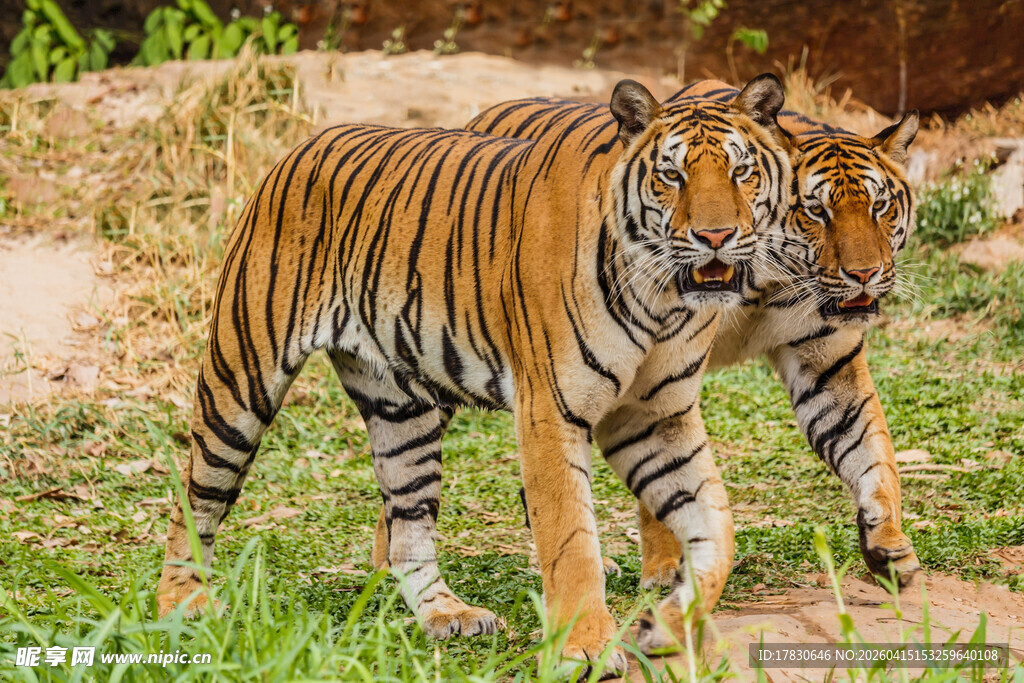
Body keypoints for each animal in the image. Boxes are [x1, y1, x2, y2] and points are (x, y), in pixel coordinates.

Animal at [156, 74, 794, 676]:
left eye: (741, 172)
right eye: (671, 176)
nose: (716, 237)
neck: (663, 299)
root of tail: (302, 144)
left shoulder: (654, 414)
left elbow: (717, 530)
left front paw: (667, 622)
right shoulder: (551, 409)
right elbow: (570, 538)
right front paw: (586, 648)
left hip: (404, 411)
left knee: (407, 527)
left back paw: (447, 615)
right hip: (240, 381)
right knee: (195, 497)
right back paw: (182, 606)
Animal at [404, 79, 922, 649]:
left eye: (880, 206)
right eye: (815, 212)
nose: (864, 274)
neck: (773, 279)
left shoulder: (826, 361)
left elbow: (872, 449)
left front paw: (888, 544)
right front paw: (666, 569)